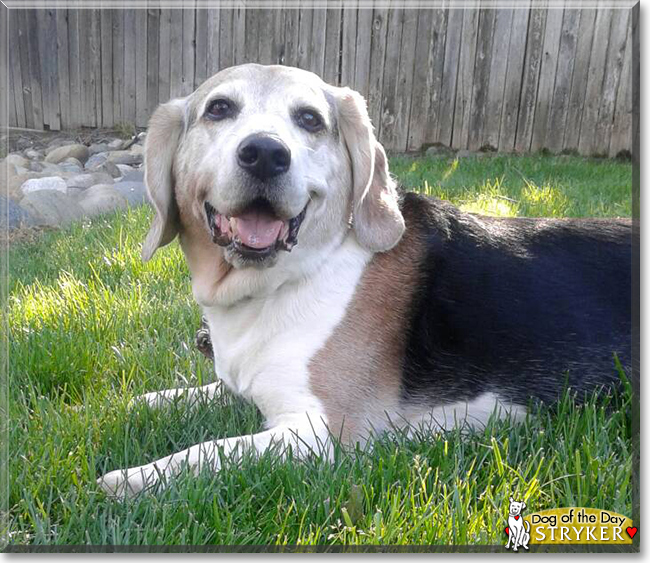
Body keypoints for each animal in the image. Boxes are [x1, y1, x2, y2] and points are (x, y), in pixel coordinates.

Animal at [98, 64, 632, 500]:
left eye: (310, 119)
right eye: (219, 109)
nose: (266, 153)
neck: (289, 279)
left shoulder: (319, 434)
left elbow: (208, 451)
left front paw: (133, 477)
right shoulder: (249, 385)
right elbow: (194, 392)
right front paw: (140, 403)